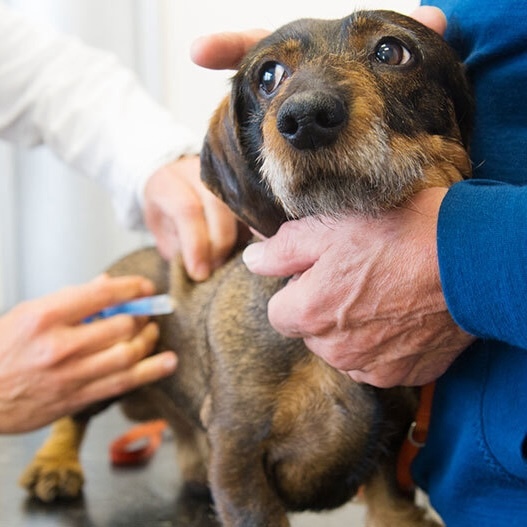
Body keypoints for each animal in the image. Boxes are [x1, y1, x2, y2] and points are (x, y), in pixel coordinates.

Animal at [21, 9, 474, 527]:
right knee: (72, 411)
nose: (305, 119)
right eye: (269, 76)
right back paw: (54, 464)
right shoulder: (239, 454)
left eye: (392, 51)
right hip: (116, 347)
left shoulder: (390, 457)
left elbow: (393, 509)